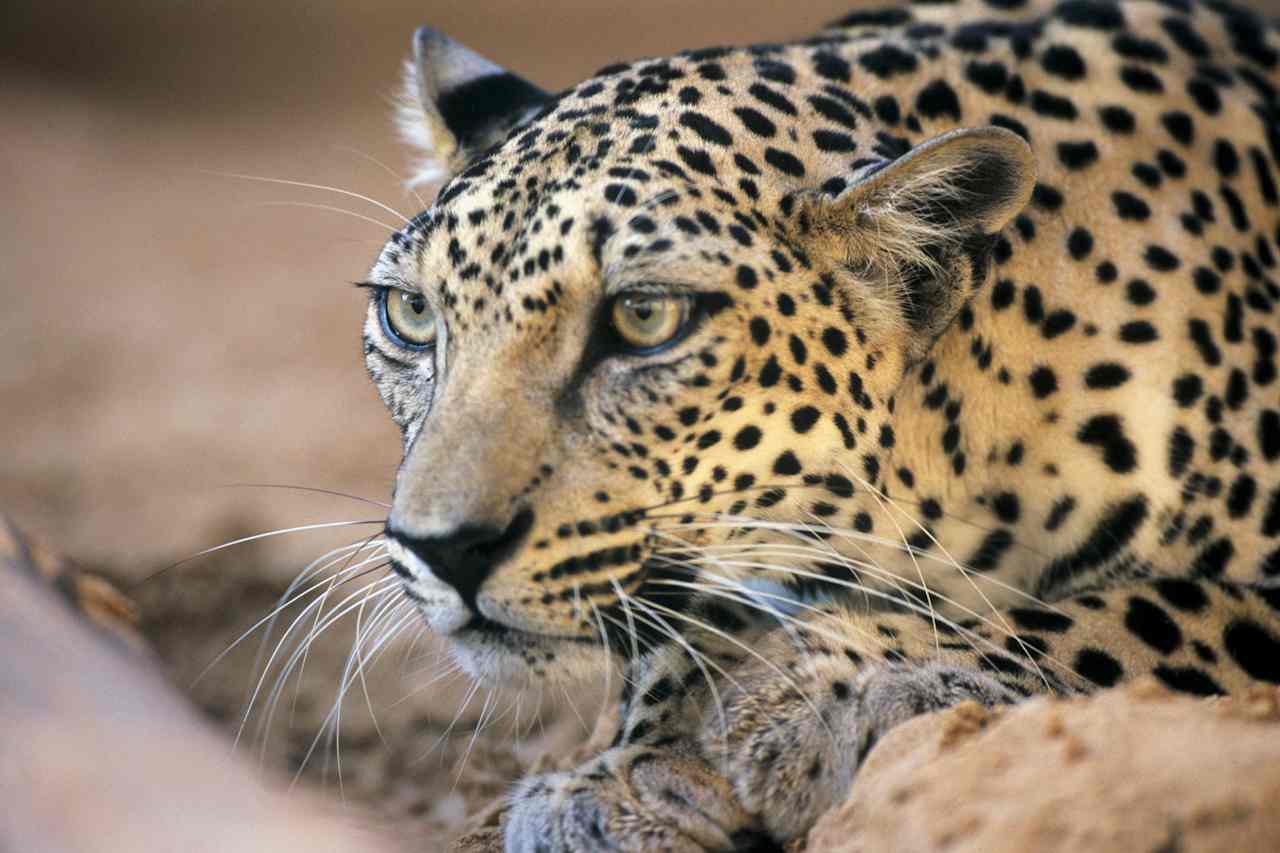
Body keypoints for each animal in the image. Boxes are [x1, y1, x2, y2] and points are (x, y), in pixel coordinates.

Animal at [360, 1, 1280, 849]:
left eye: (645, 317)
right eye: (411, 313)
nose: (442, 550)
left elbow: (1157, 603)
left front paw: (823, 697)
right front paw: (626, 778)